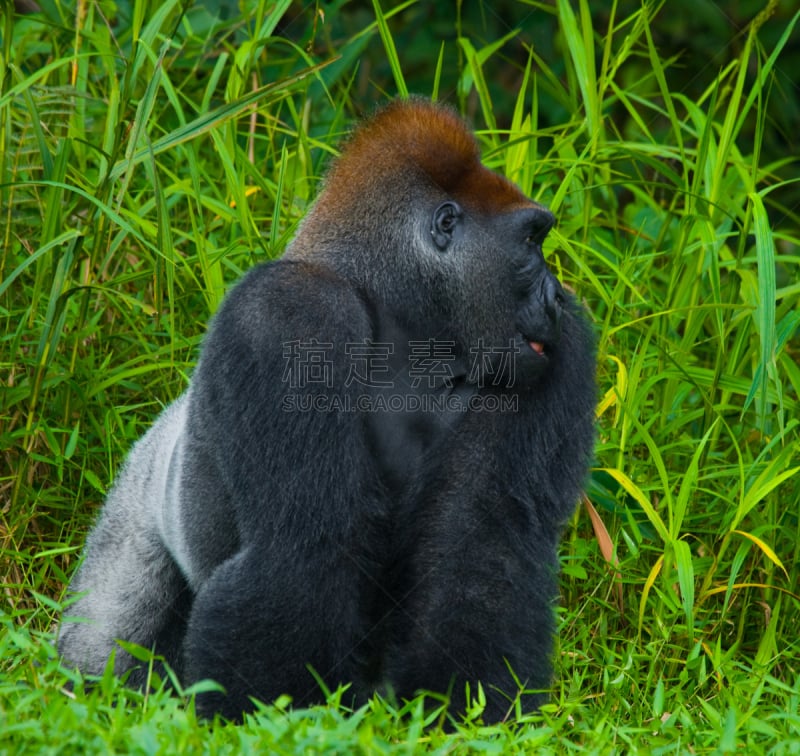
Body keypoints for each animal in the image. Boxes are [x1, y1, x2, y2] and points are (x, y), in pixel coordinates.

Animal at [59, 97, 596, 724]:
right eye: (532, 242)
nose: (557, 298)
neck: (406, 324)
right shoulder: (293, 311)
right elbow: (305, 539)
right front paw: (268, 713)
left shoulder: (552, 358)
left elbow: (482, 543)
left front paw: (465, 708)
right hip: (133, 503)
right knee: (107, 633)